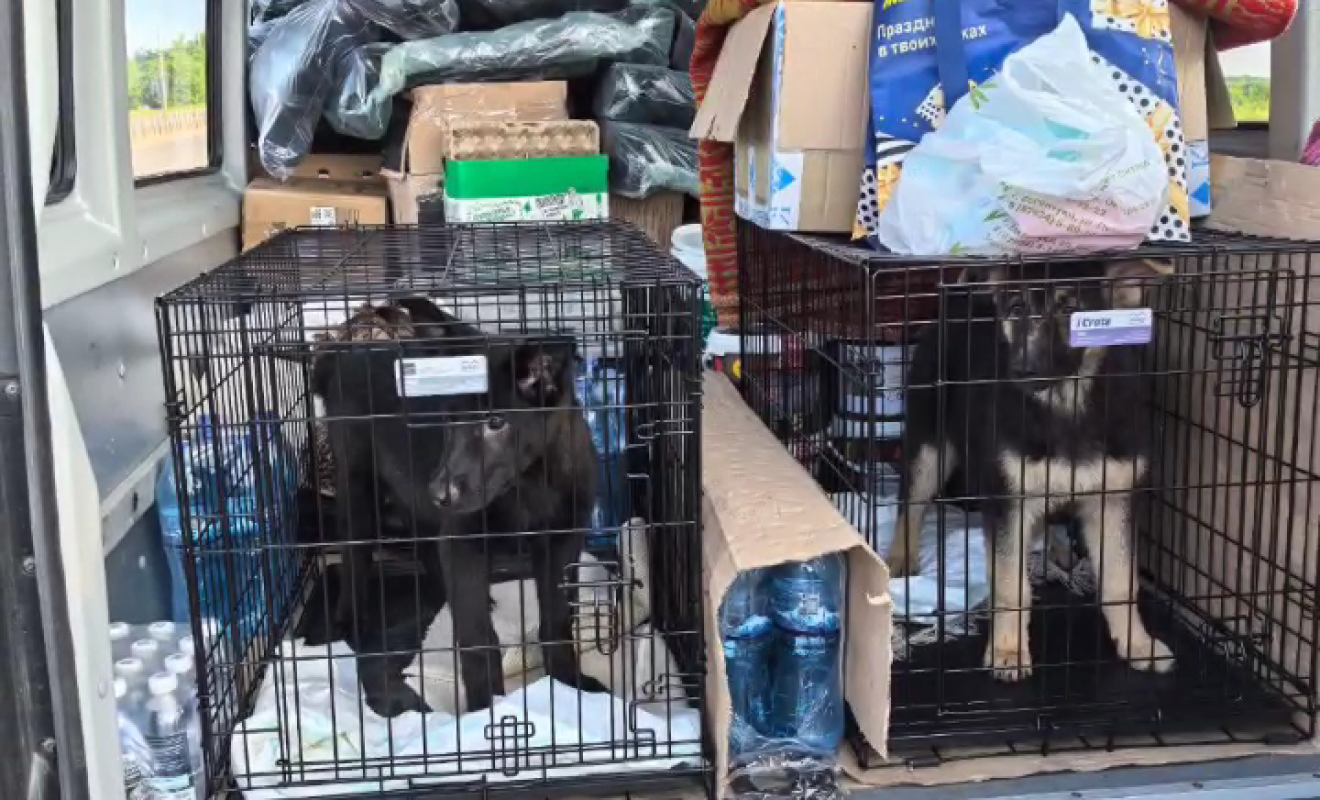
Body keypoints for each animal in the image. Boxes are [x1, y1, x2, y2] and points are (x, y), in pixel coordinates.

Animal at [886, 259, 1175, 682]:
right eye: (1017, 308)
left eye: (1070, 307)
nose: (1021, 369)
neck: (1066, 405)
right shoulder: (1009, 501)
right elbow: (1011, 586)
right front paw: (1008, 651)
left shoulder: (1114, 499)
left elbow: (1121, 582)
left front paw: (1137, 644)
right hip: (929, 444)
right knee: (912, 502)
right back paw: (899, 559)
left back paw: (1058, 549)